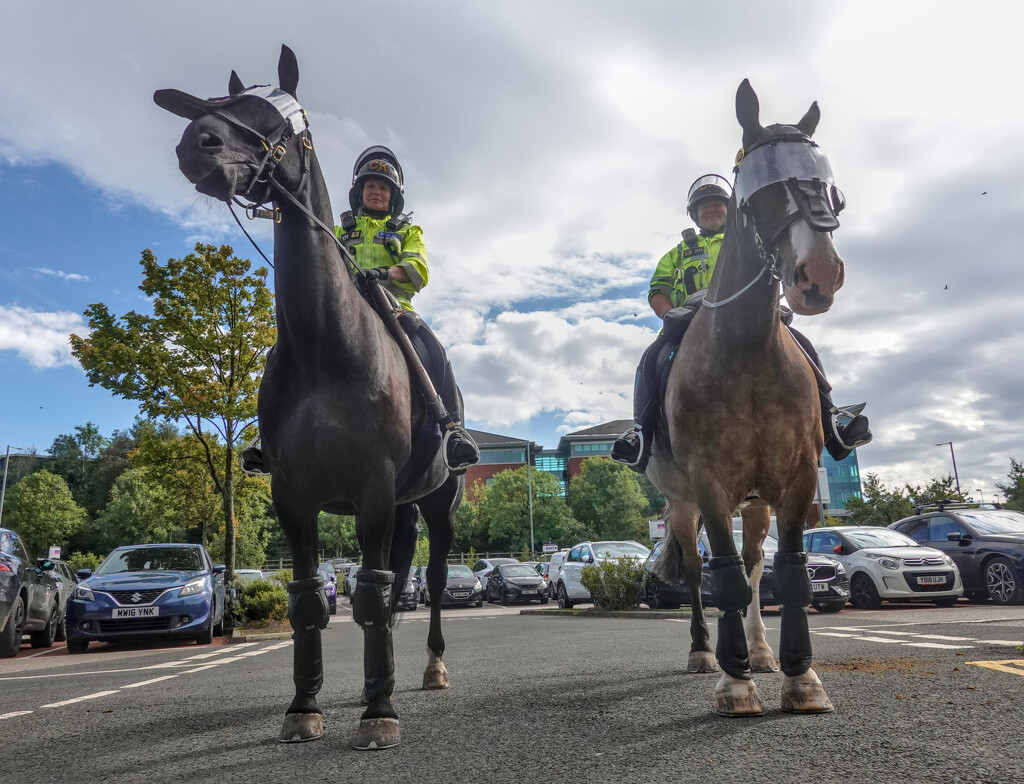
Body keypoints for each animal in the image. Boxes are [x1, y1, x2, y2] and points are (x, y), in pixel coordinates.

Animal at [154, 47, 460, 749]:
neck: (325, 342)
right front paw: (305, 703)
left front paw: (379, 713)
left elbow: (369, 592)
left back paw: (428, 667)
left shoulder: (372, 487)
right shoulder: (295, 496)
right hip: (401, 504)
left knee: (427, 580)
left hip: (436, 501)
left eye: (281, 117)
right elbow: (306, 597)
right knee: (397, 578)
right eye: (220, 101)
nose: (197, 143)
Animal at [651, 79, 843, 720]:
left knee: (758, 566)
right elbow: (724, 576)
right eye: (761, 190)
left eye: (826, 183)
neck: (747, 353)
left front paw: (799, 676)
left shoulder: (798, 478)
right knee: (696, 572)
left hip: (756, 501)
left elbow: (786, 572)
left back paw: (759, 651)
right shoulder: (708, 484)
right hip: (682, 505)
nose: (818, 275)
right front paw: (734, 684)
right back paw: (705, 652)